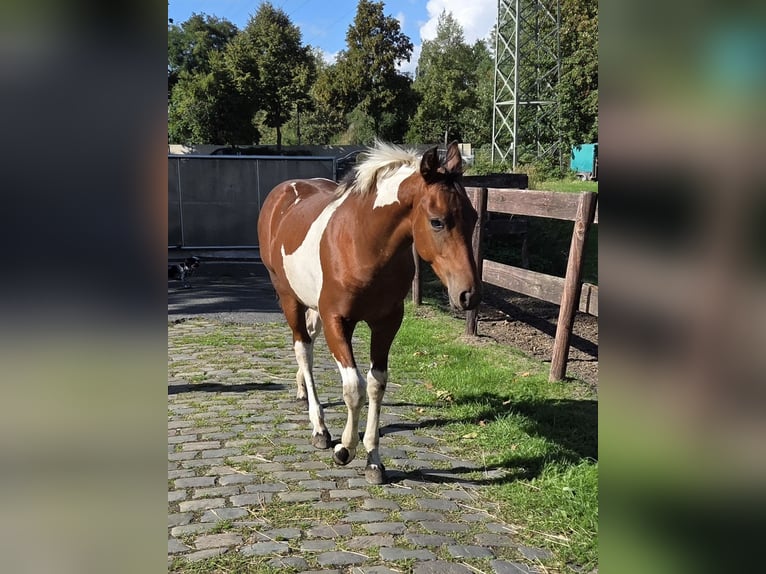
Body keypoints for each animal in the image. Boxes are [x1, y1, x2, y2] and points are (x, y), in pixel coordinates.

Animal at [257, 140, 481, 484]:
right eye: (437, 221)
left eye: (474, 217)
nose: (468, 295)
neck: (362, 243)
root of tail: (282, 192)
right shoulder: (338, 321)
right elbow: (354, 388)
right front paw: (344, 449)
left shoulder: (387, 323)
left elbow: (376, 384)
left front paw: (374, 461)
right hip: (288, 297)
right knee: (303, 350)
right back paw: (319, 428)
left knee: (309, 342)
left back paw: (301, 391)